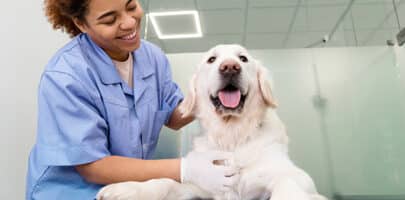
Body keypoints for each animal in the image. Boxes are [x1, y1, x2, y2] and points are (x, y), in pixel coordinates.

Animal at [96, 45, 326, 200]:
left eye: (243, 58)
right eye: (212, 59)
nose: (230, 67)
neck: (232, 135)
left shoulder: (295, 176)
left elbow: (288, 183)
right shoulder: (204, 185)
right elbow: (166, 181)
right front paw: (126, 189)